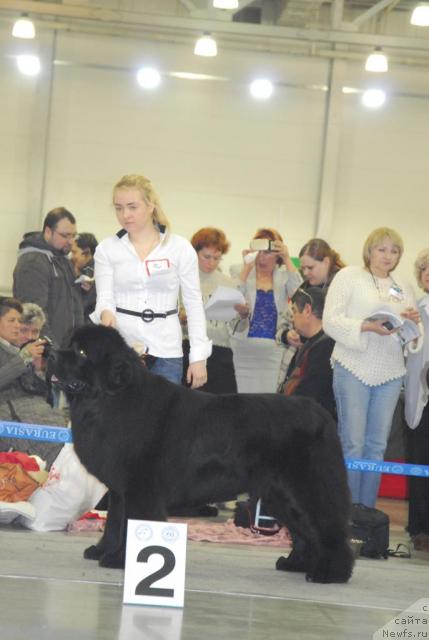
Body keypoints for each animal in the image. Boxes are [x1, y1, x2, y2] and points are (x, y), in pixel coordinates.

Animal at [50, 328, 352, 584]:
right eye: (68, 343)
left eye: (81, 352)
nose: (50, 354)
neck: (110, 400)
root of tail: (322, 414)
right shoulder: (120, 490)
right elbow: (114, 522)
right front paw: (103, 551)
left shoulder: (140, 489)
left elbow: (131, 523)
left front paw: (123, 560)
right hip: (279, 494)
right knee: (303, 529)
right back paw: (296, 564)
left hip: (306, 487)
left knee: (327, 526)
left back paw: (329, 573)